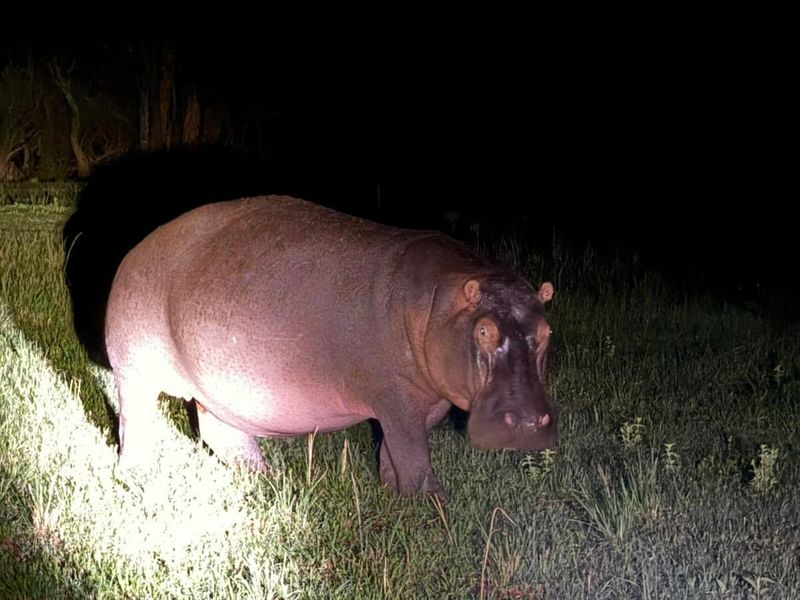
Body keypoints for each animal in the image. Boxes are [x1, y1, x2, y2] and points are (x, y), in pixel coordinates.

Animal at [104, 195, 556, 494]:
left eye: (547, 332)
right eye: (484, 332)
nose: (528, 421)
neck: (436, 304)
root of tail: (136, 248)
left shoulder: (428, 401)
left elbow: (394, 449)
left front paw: (392, 494)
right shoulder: (395, 397)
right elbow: (413, 453)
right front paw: (432, 506)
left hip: (213, 388)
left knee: (221, 433)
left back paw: (267, 479)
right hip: (134, 368)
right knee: (135, 421)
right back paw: (136, 477)